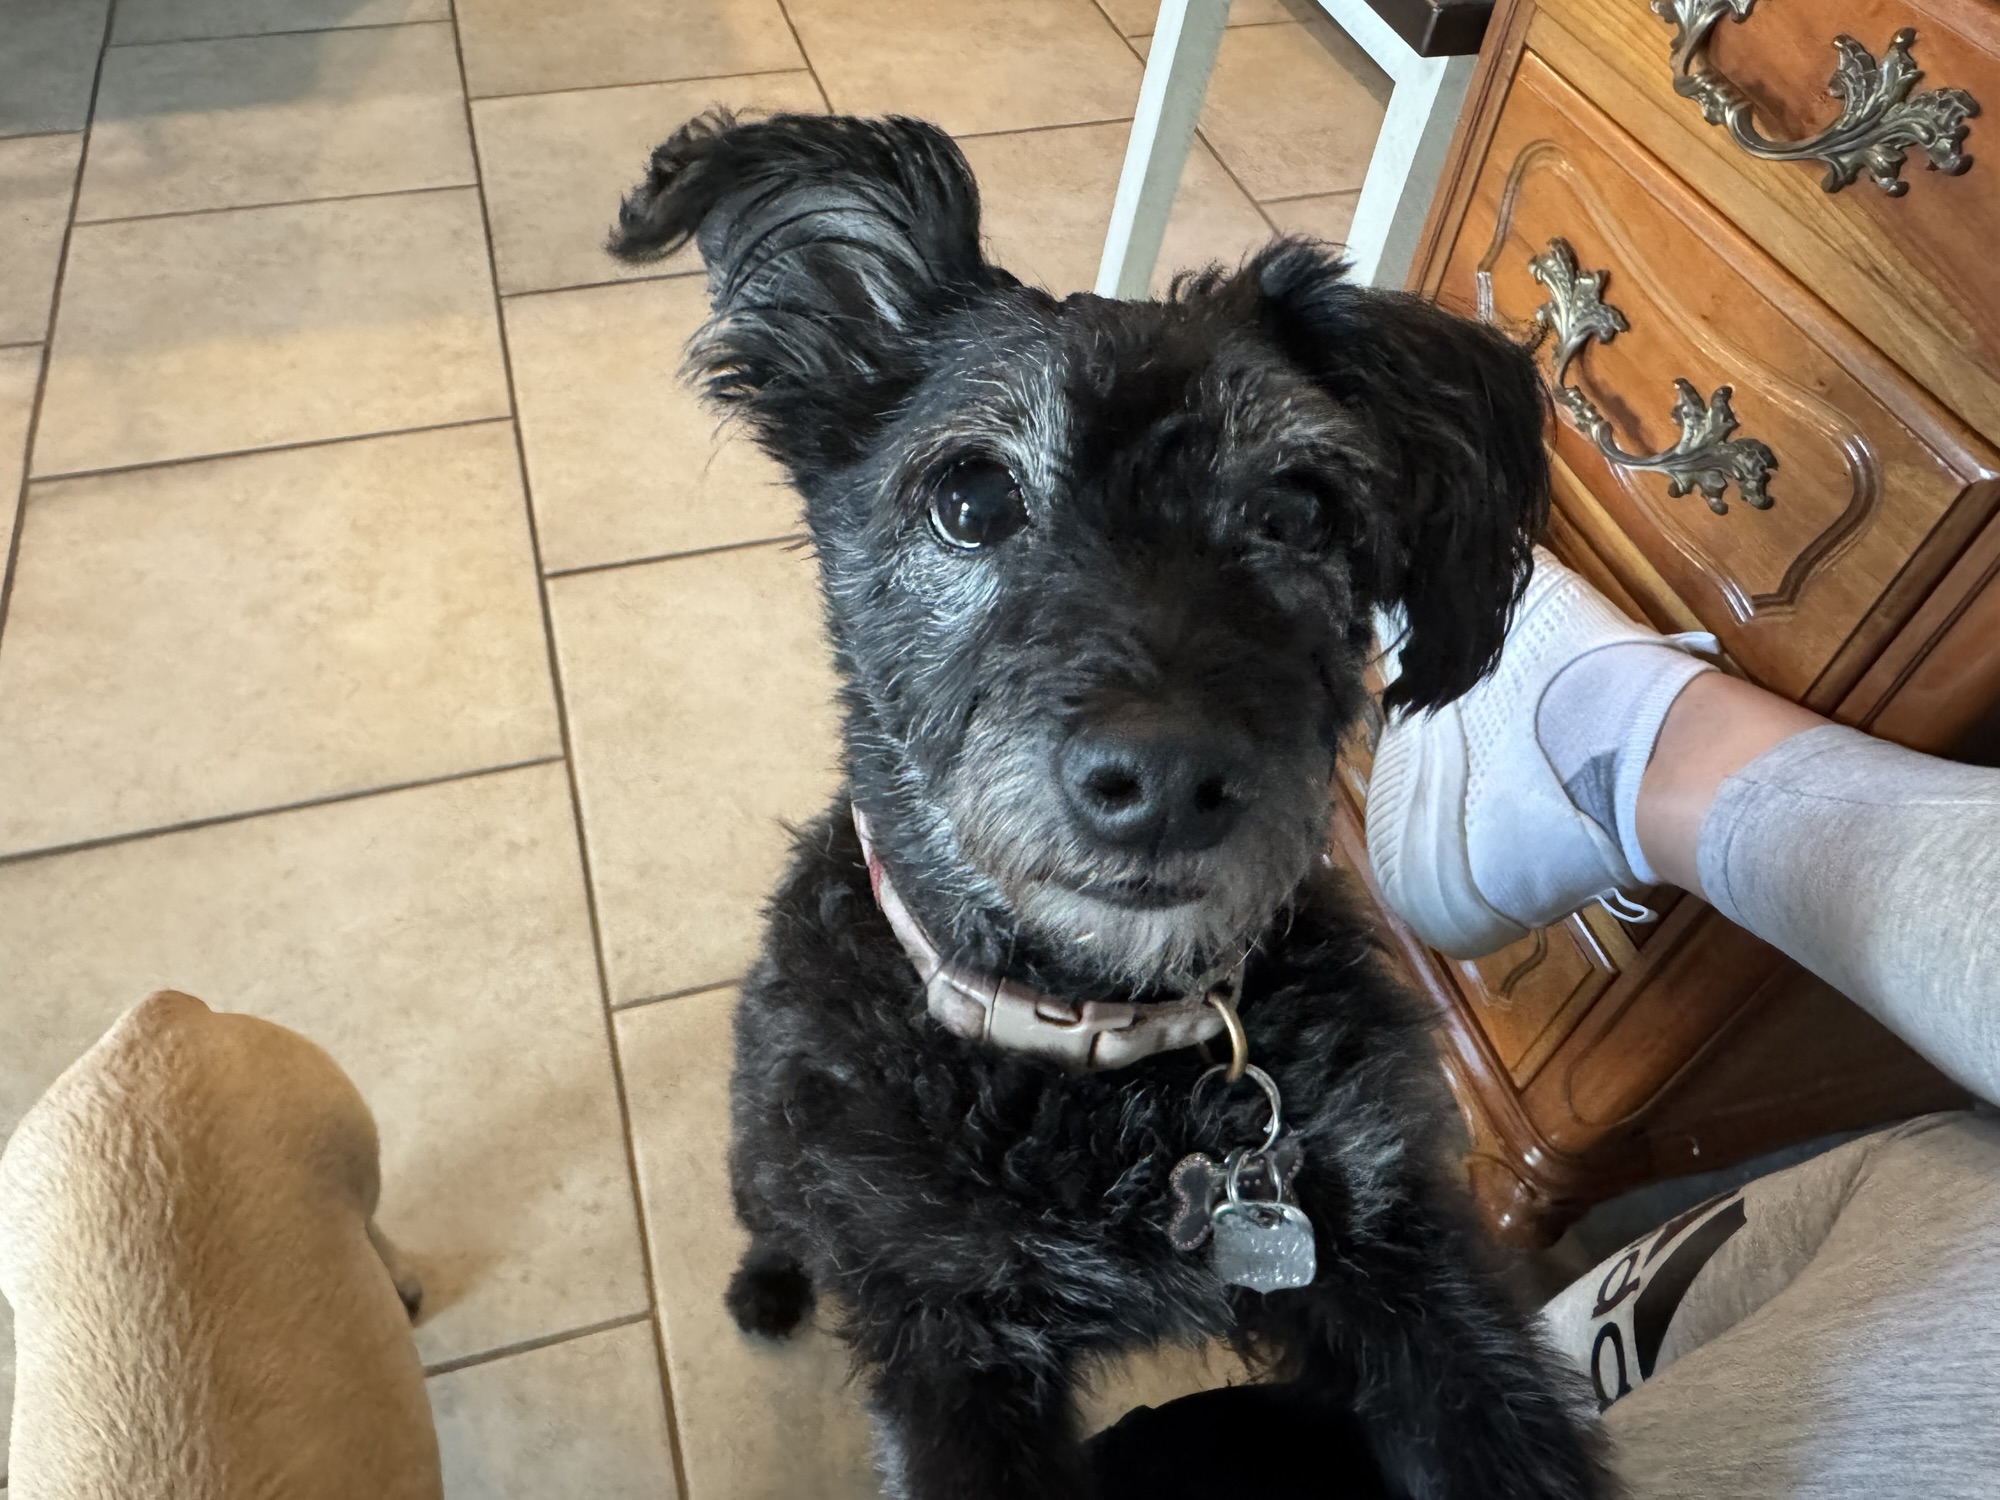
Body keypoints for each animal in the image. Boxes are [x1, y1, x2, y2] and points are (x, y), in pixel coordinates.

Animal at [609, 111, 1607, 1499]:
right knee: (774, 1219)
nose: (1167, 783)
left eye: (1297, 506)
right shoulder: (947, 1337)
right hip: (765, 1146)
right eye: (970, 497)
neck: (1099, 1059)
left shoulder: (1401, 1245)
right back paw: (765, 1287)